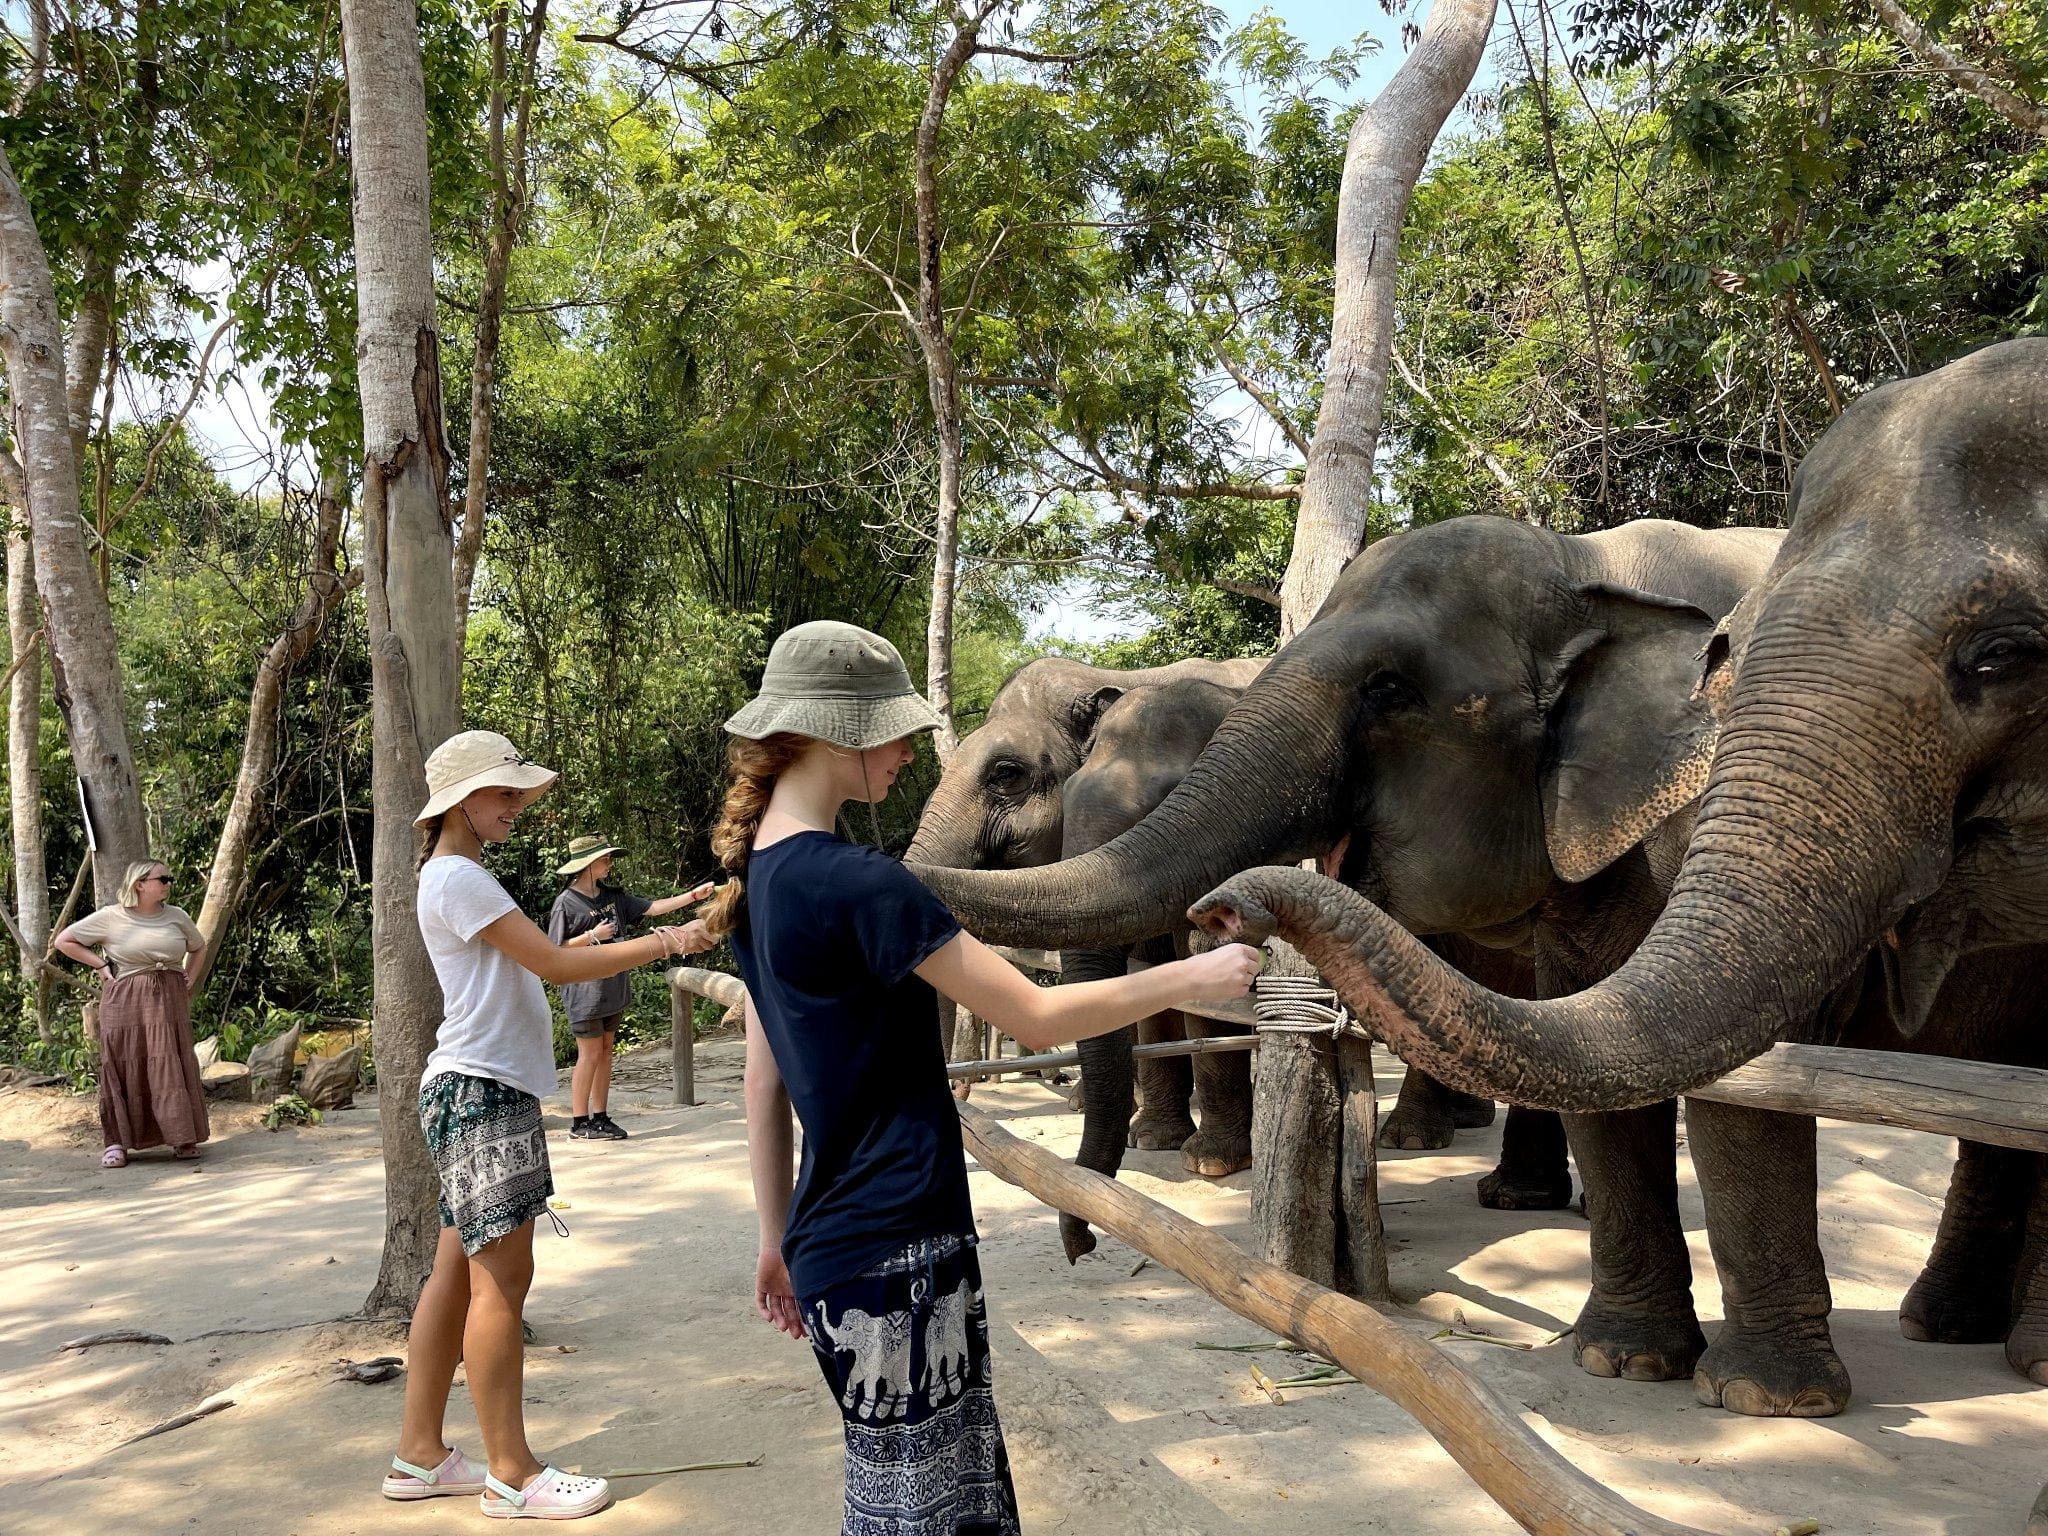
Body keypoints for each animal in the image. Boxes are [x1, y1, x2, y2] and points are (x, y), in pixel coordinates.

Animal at [912, 513, 1782, 1297]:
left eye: (1007, 776)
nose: (1083, 1246)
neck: (1582, 564)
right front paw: (1162, 1143)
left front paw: (1206, 1161)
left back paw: (1457, 1159)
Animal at [1185, 338, 2048, 1417]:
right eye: (1724, 656)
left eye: (1388, 691)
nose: (1221, 908)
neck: (1586, 566)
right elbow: (1608, 1037)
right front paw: (1622, 1363)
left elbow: (1745, 1076)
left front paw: (1760, 1400)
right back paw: (1947, 1327)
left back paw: (2014, 1355)